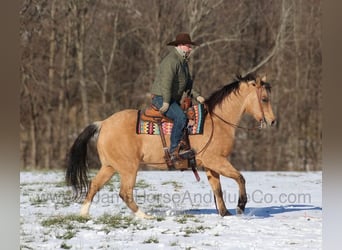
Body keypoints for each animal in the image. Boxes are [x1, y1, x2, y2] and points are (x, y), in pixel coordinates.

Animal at [65, 73, 276, 218]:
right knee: (125, 193)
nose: (273, 121)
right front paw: (240, 206)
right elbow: (240, 178)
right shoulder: (216, 160)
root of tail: (103, 123)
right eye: (264, 99)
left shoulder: (210, 165)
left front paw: (225, 213)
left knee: (94, 185)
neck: (216, 121)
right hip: (128, 168)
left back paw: (83, 214)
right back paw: (145, 217)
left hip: (109, 167)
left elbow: (217, 189)